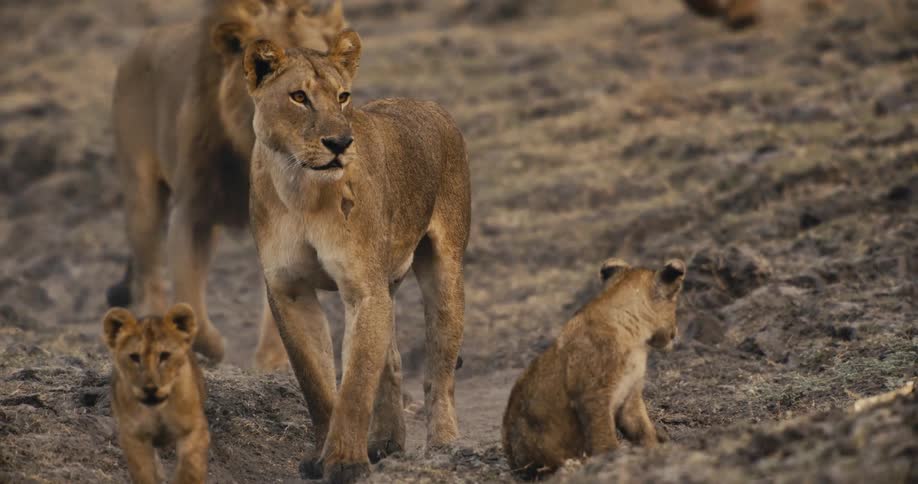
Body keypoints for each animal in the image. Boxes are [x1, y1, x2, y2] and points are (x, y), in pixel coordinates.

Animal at [103, 303, 209, 484]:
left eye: (165, 355)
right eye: (135, 357)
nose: (150, 388)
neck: (157, 411)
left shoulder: (194, 428)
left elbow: (191, 465)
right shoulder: (133, 436)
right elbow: (144, 473)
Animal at [105, 0, 346, 364]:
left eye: (335, 91)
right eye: (296, 95)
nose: (330, 140)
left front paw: (272, 362)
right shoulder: (193, 213)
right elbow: (188, 293)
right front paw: (210, 346)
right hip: (141, 195)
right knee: (149, 277)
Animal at [244, 29, 471, 483]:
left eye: (343, 96)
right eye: (299, 97)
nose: (339, 143)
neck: (300, 189)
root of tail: (429, 105)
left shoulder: (363, 288)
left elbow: (355, 383)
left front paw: (346, 461)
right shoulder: (289, 290)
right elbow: (316, 381)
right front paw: (321, 456)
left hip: (445, 272)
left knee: (438, 372)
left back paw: (442, 444)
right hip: (389, 281)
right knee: (394, 359)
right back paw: (386, 441)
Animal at [502, 258, 687, 480]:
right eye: (674, 302)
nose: (675, 332)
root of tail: (513, 465)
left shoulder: (630, 394)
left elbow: (642, 428)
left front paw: (655, 452)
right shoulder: (593, 395)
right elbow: (603, 434)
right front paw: (611, 460)